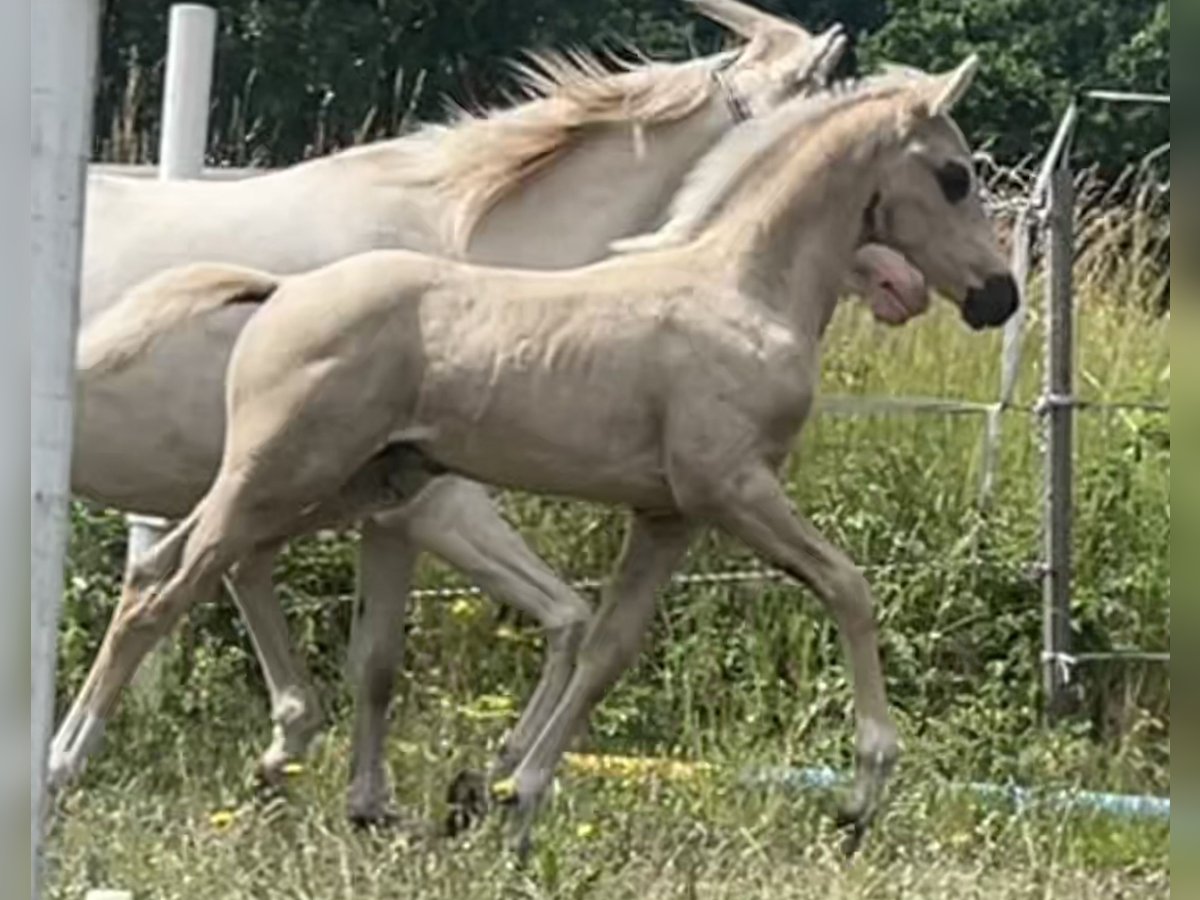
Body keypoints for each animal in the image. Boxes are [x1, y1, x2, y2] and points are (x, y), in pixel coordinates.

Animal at [56, 52, 1012, 854]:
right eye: (955, 174)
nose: (998, 296)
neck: (740, 288)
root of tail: (281, 291)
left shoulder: (667, 514)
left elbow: (604, 648)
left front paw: (516, 797)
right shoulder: (734, 489)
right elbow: (848, 588)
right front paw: (864, 791)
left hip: (329, 487)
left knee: (164, 571)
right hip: (280, 480)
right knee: (160, 596)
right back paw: (68, 763)